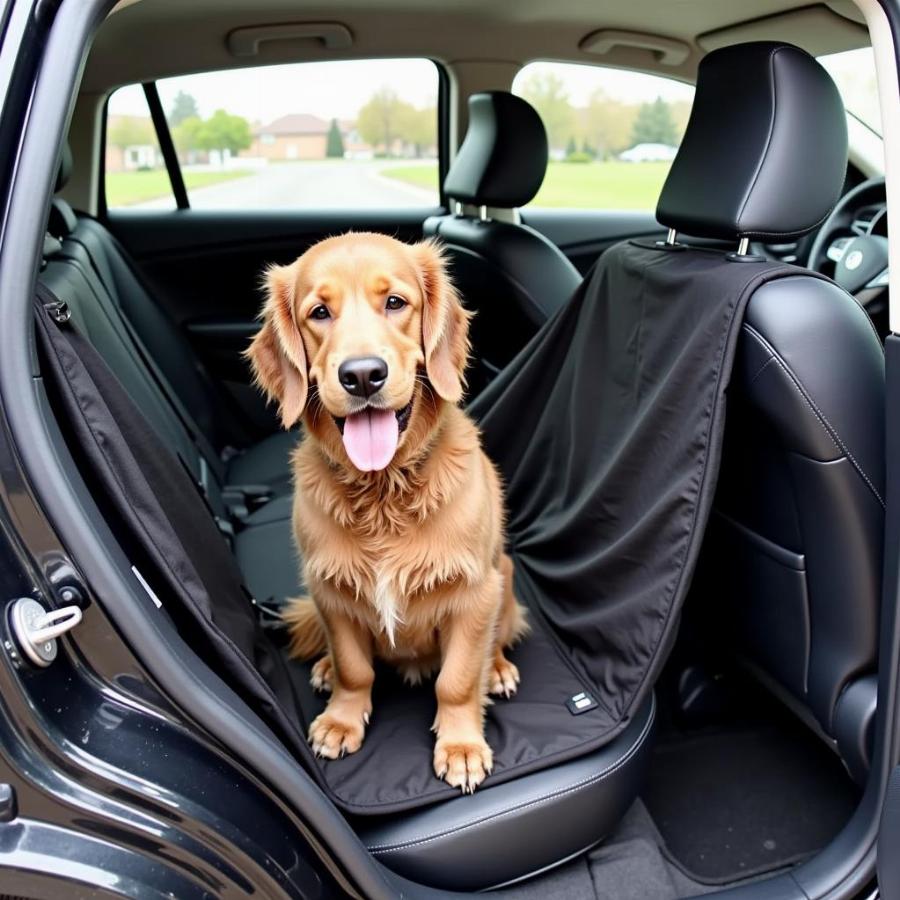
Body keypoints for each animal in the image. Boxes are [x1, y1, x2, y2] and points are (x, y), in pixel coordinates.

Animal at [246, 234, 528, 796]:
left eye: (395, 303)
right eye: (319, 312)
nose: (362, 376)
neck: (383, 491)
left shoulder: (474, 592)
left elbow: (457, 679)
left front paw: (461, 746)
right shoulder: (330, 590)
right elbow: (356, 669)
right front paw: (342, 719)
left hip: (503, 578)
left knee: (494, 643)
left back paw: (499, 669)